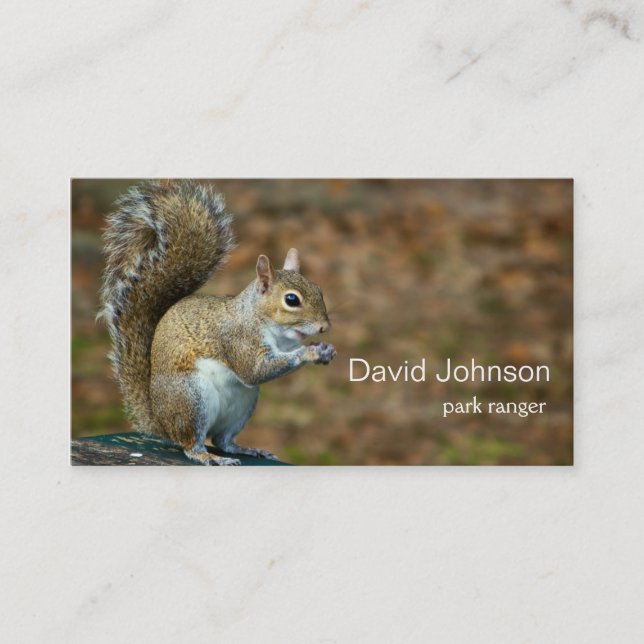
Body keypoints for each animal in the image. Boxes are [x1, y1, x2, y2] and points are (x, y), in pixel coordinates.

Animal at [99, 180, 336, 465]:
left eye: (319, 290)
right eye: (292, 299)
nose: (324, 327)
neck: (260, 319)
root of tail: (160, 421)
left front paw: (324, 350)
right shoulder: (237, 339)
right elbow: (254, 370)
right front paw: (310, 352)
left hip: (243, 405)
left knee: (223, 440)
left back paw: (245, 449)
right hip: (192, 398)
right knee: (191, 442)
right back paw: (208, 456)